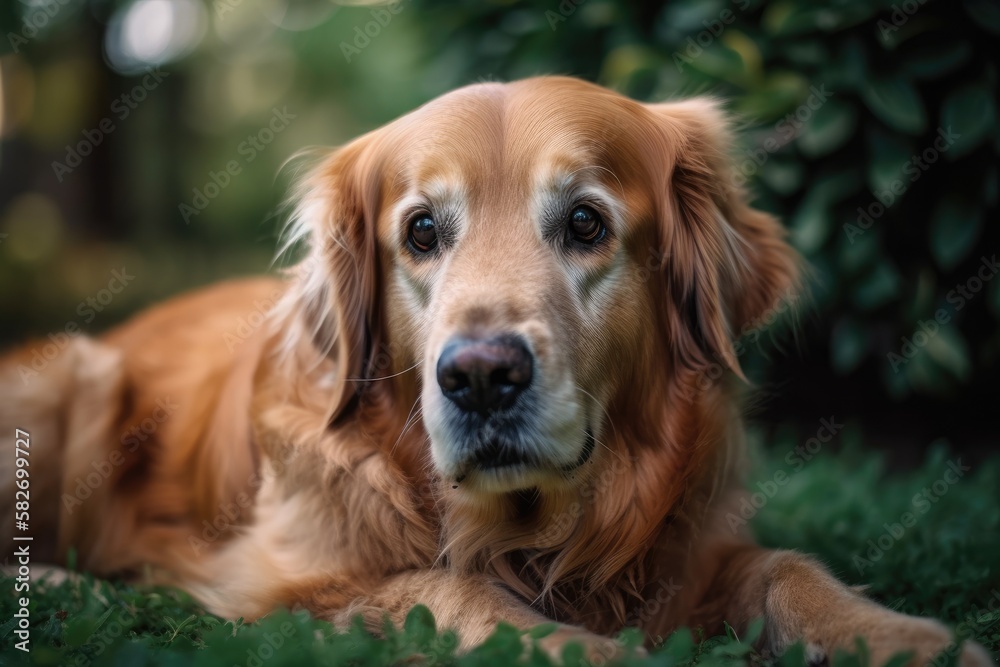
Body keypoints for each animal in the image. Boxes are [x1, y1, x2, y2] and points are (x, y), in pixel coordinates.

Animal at [0, 77, 992, 664]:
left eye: (586, 222)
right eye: (421, 231)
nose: (479, 376)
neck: (538, 531)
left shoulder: (692, 549)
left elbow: (786, 567)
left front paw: (902, 638)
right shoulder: (281, 580)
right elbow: (449, 586)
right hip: (71, 383)